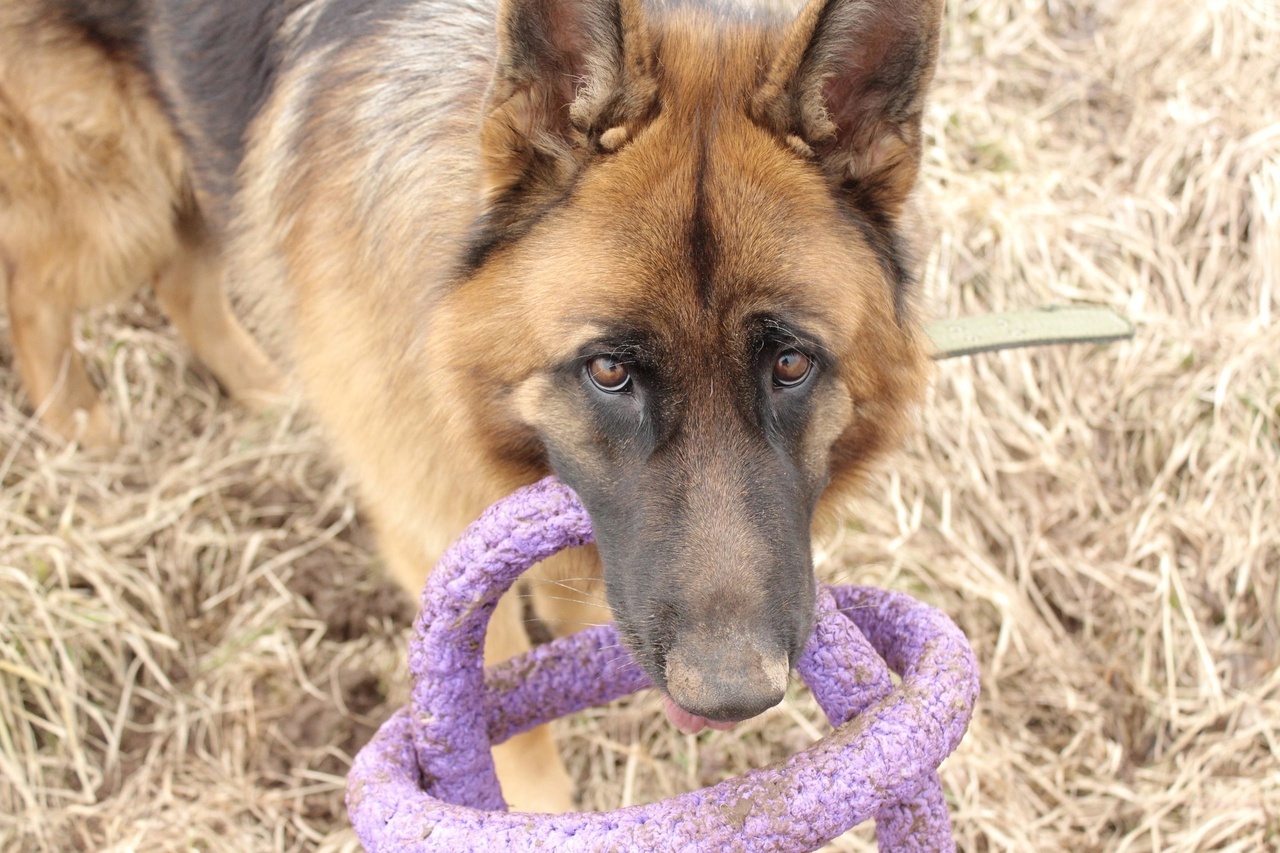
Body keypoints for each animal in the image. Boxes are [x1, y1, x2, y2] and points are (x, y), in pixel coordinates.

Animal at [0, 0, 942, 809]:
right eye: (609, 370)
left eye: (791, 362)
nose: (732, 697)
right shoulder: (432, 530)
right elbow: (498, 697)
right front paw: (535, 802)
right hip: (117, 195)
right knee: (39, 293)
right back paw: (79, 423)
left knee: (180, 276)